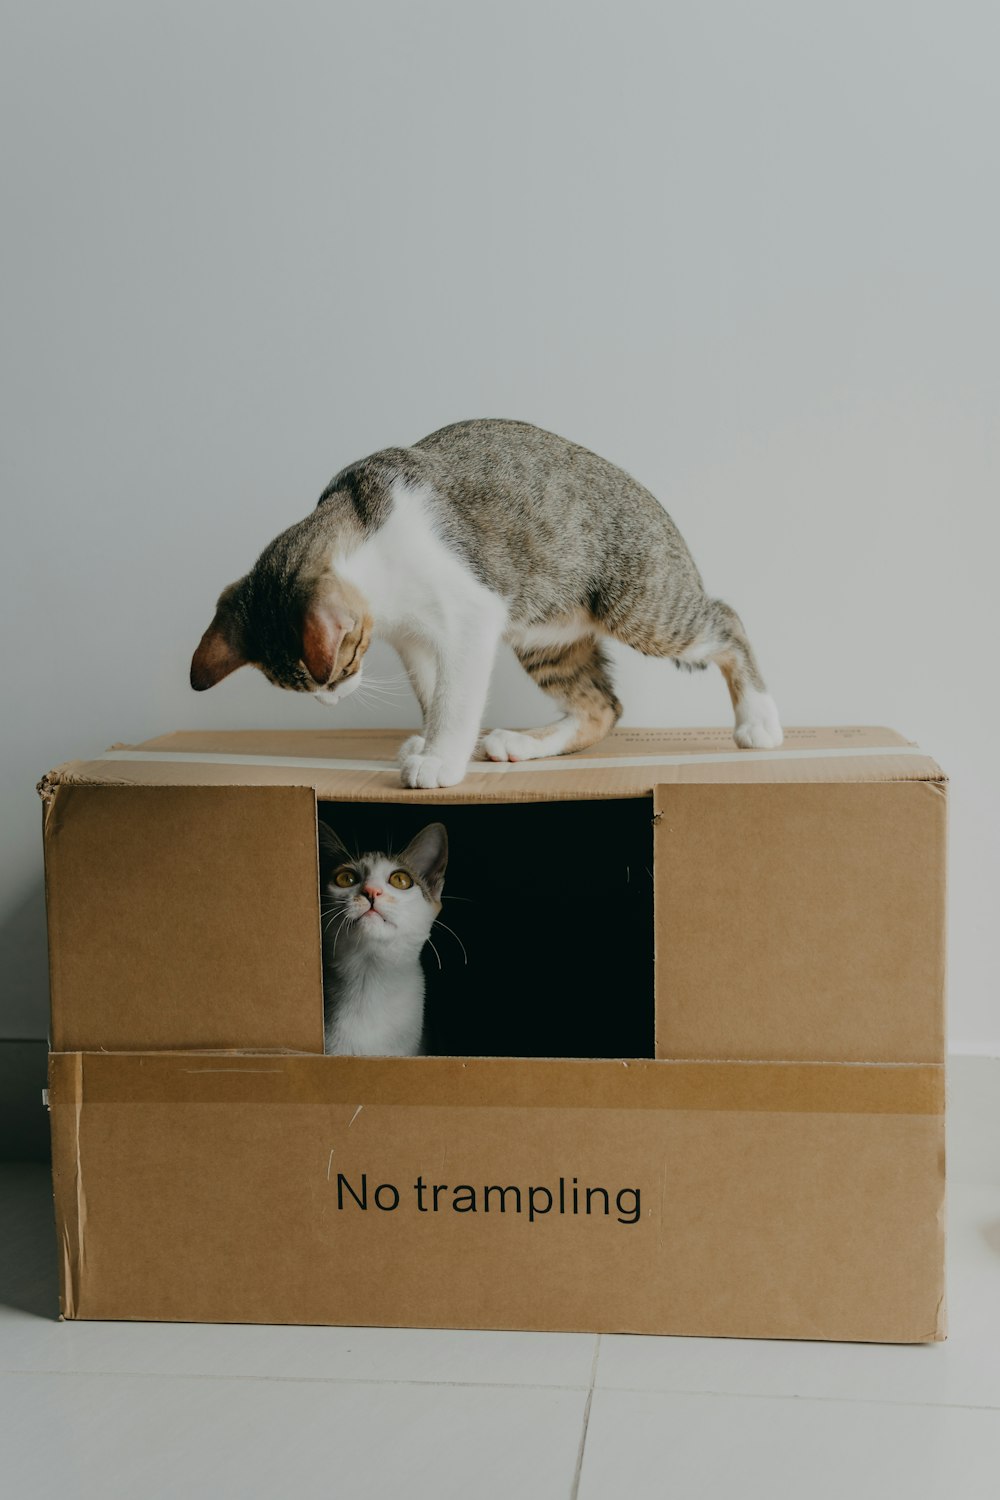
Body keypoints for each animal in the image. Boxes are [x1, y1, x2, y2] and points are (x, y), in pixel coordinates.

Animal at [189, 414, 779, 786]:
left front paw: (440, 760)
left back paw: (759, 722)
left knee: (726, 621)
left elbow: (455, 697)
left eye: (338, 668)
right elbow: (433, 693)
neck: (366, 527)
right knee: (602, 706)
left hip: (641, 605)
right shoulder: (414, 641)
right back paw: (520, 743)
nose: (331, 701)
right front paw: (435, 745)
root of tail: (652, 500)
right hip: (545, 636)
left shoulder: (471, 616)